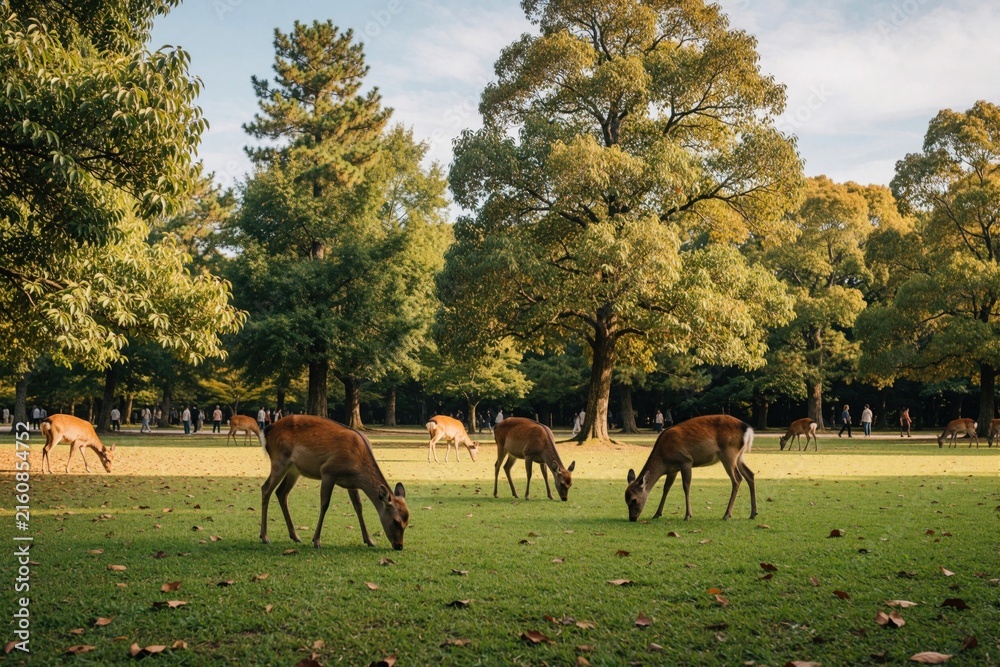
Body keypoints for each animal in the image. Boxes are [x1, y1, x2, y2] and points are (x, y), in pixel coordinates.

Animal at [259, 415, 409, 550]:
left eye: (407, 521)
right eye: (396, 521)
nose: (399, 546)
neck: (358, 465)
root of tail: (267, 430)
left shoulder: (352, 484)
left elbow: (358, 507)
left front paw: (370, 541)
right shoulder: (328, 472)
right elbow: (324, 505)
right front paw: (316, 541)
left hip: (294, 470)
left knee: (281, 492)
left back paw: (295, 536)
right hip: (279, 461)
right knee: (266, 488)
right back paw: (265, 537)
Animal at [625, 414, 756, 522]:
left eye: (633, 500)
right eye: (625, 500)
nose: (632, 518)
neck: (663, 458)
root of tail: (747, 428)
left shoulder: (686, 461)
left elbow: (686, 486)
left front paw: (688, 515)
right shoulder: (672, 470)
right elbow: (666, 488)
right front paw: (657, 514)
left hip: (728, 453)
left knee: (737, 479)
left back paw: (727, 515)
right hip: (739, 456)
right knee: (750, 474)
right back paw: (753, 513)